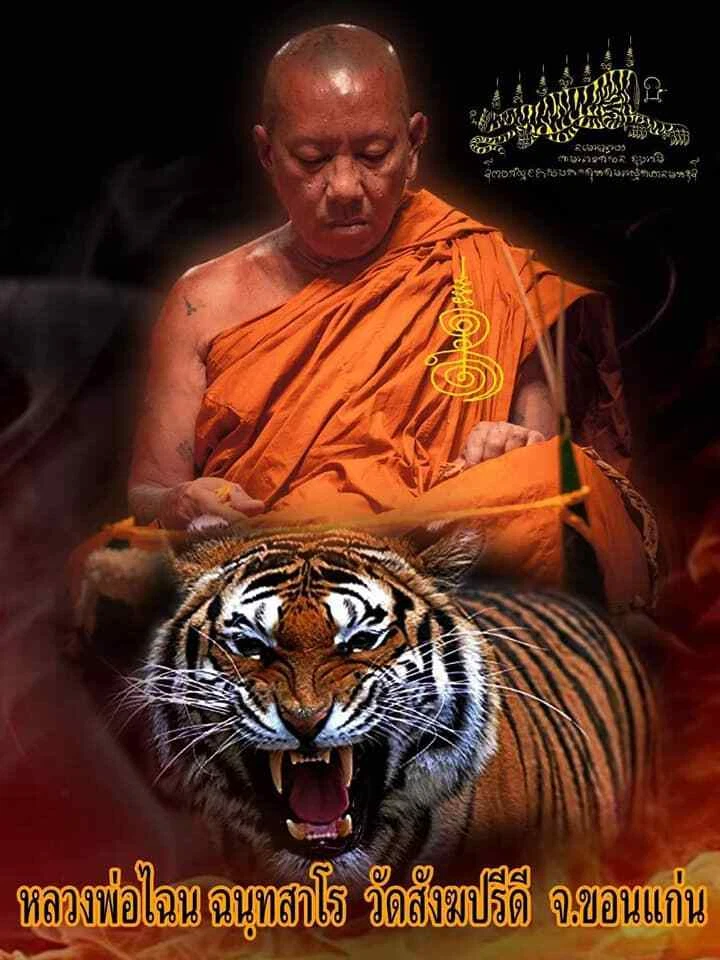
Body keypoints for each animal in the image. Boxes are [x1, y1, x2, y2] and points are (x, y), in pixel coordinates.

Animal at [470, 68, 690, 154]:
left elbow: (644, 120)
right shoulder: (608, 114)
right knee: (514, 117)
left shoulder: (608, 115)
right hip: (540, 115)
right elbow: (643, 119)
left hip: (559, 130)